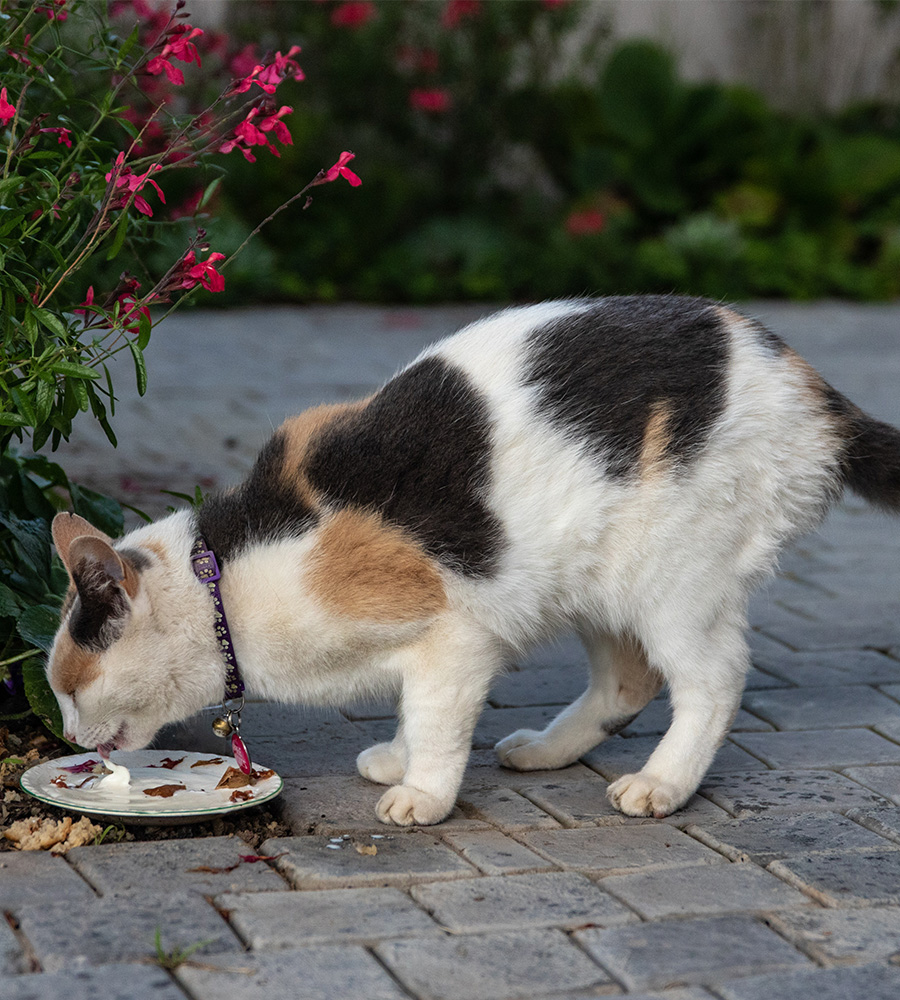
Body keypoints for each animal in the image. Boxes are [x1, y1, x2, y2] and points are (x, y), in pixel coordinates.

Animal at [45, 292, 900, 824]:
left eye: (70, 686)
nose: (68, 738)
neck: (226, 578)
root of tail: (808, 386)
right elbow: (411, 706)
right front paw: (399, 759)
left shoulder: (454, 634)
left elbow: (435, 715)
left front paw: (423, 791)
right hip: (594, 578)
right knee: (630, 677)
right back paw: (547, 750)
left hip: (673, 575)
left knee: (713, 678)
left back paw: (661, 782)